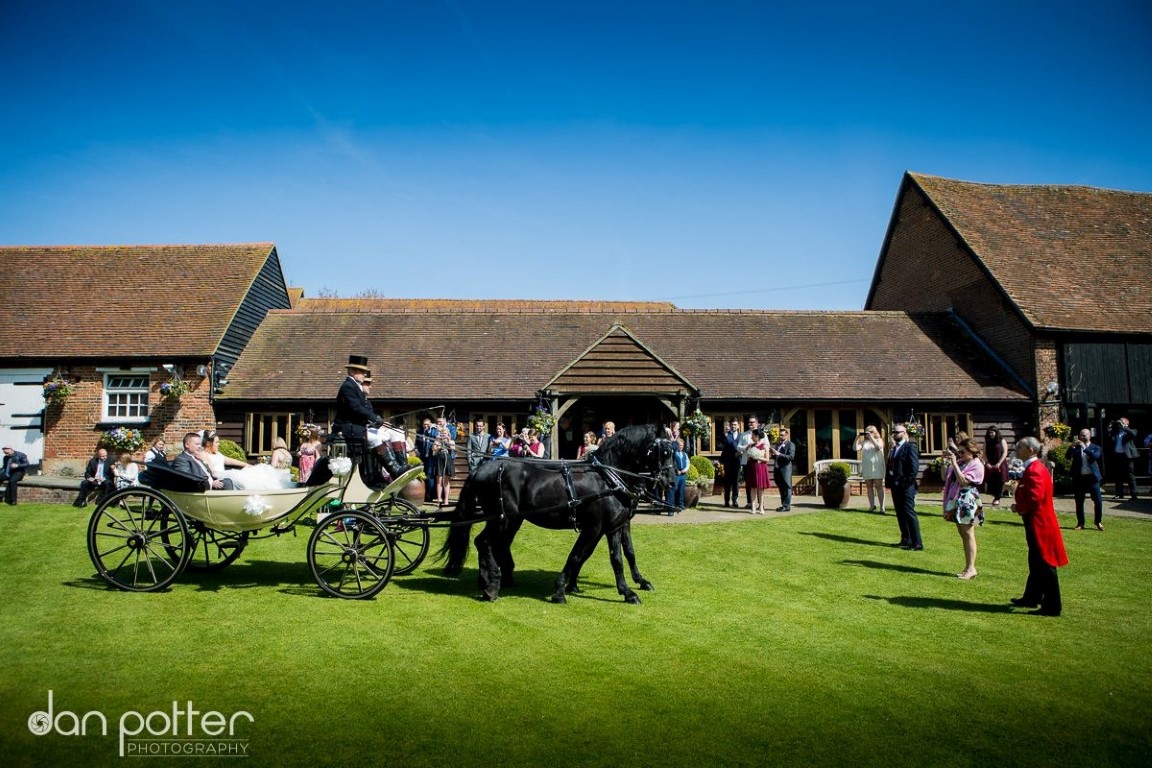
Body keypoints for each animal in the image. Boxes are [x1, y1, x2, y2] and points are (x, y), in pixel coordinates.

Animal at [437, 423, 672, 603]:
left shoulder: (615, 525)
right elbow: (581, 555)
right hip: (504, 519)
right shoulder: (595, 527)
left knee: (498, 544)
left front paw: (631, 588)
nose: (669, 481)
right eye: (665, 451)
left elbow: (622, 556)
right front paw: (561, 589)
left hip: (511, 520)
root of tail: (481, 468)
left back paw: (496, 578)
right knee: (484, 542)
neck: (607, 477)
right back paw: (491, 585)